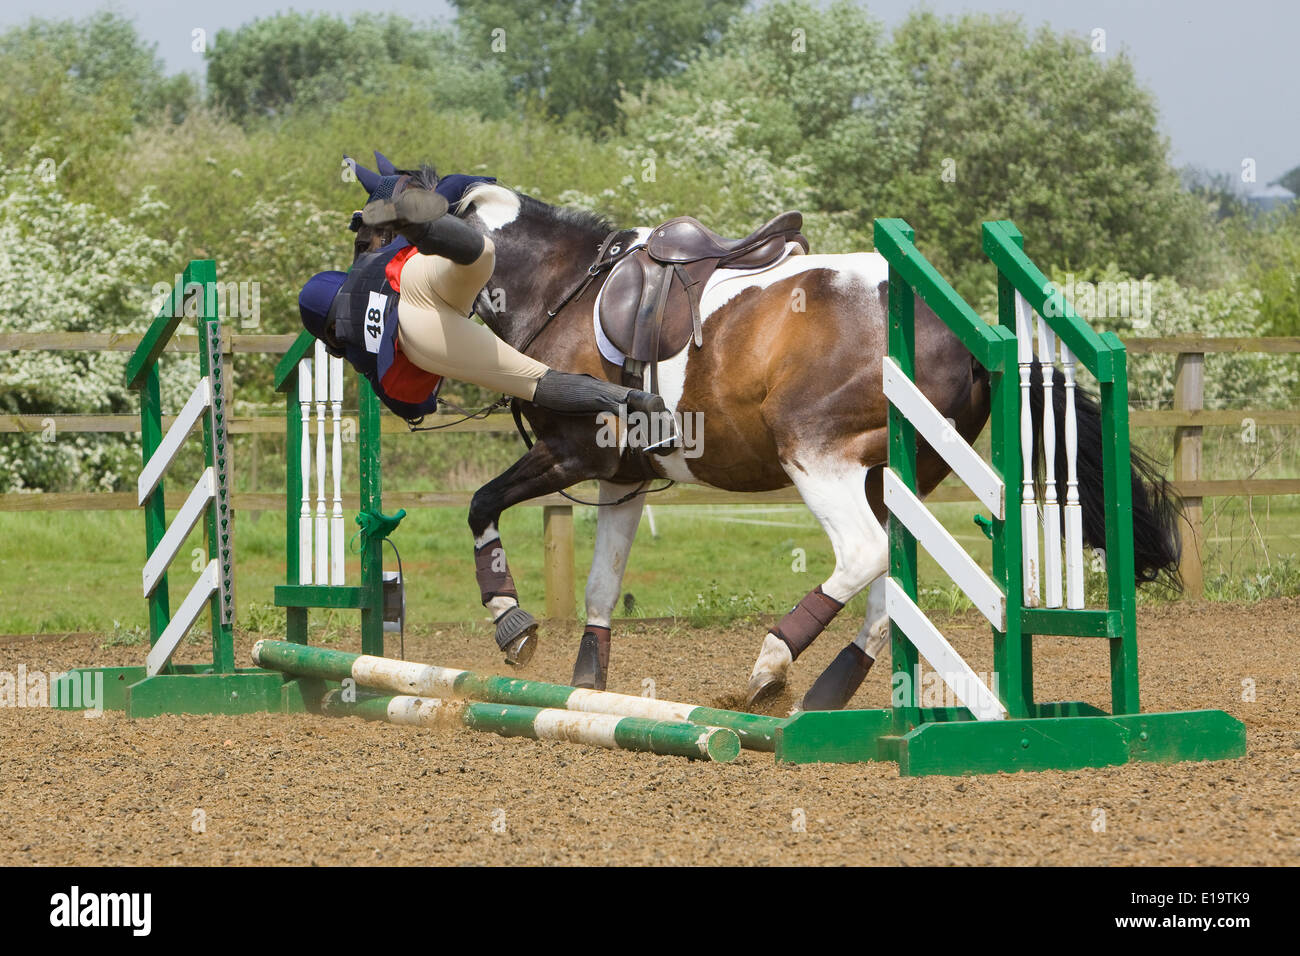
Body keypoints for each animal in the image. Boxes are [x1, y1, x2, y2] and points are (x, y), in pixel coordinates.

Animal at [356, 176, 1182, 712]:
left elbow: (480, 504)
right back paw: (826, 690)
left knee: (862, 556)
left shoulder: (573, 455)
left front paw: (511, 623)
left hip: (818, 455)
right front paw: (587, 685)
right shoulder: (622, 478)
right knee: (887, 576)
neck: (560, 287)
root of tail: (959, 333)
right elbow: (599, 583)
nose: (358, 329)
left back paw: (772, 667)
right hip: (892, 475)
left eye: (376, 239)